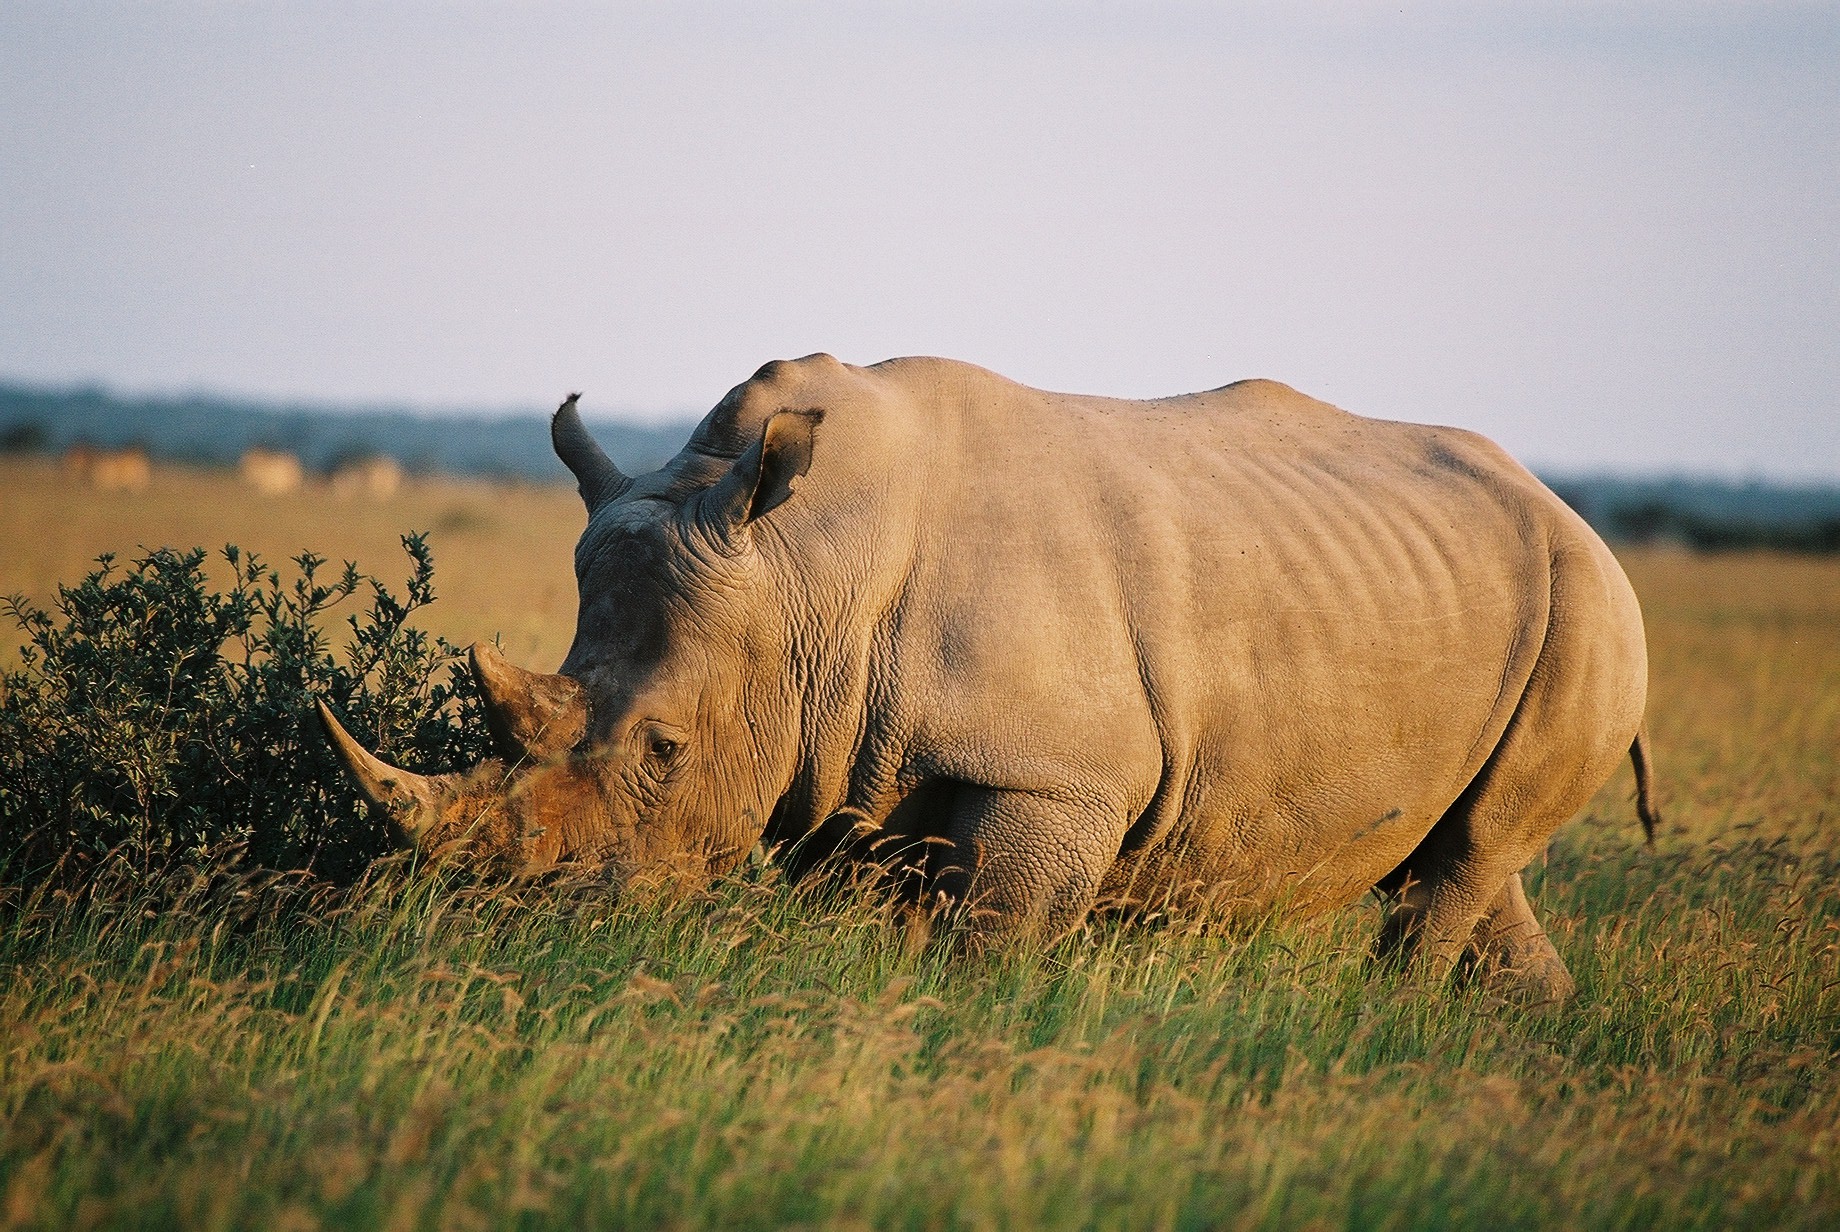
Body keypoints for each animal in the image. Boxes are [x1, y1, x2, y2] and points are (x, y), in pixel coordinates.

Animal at [319, 353, 1659, 1000]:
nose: (523, 928)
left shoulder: (1055, 775)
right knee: (1474, 859)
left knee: (1468, 858)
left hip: (1594, 608)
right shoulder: (847, 764)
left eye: (662, 750)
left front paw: (980, 1041)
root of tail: (1571, 512)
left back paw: (1388, 1030)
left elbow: (994, 944)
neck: (806, 569)